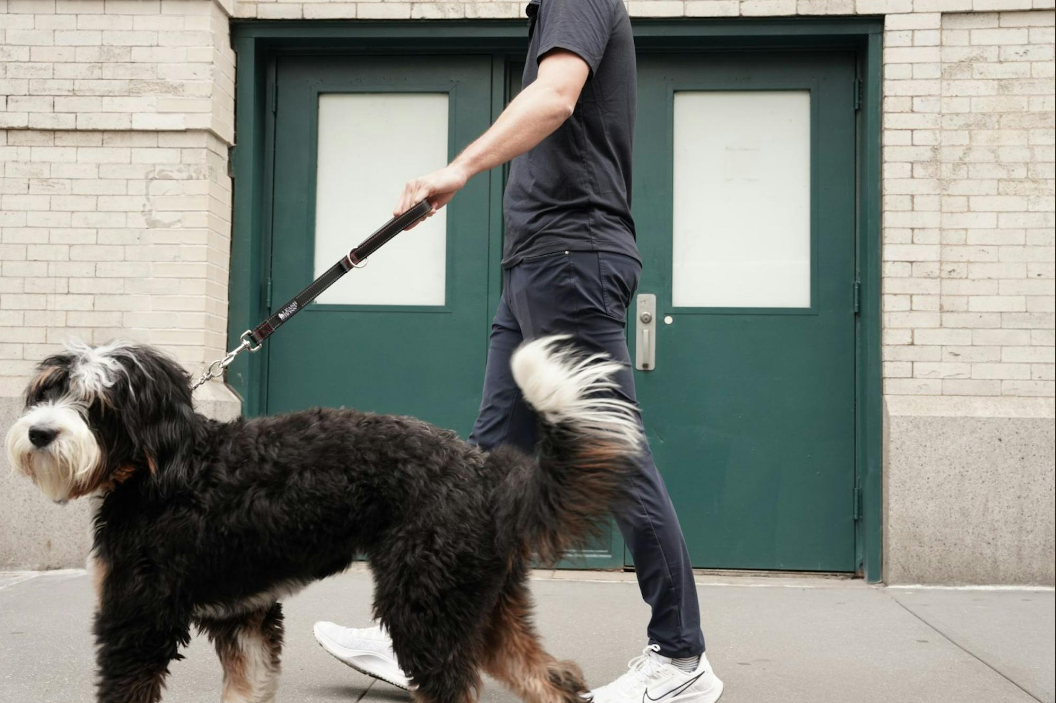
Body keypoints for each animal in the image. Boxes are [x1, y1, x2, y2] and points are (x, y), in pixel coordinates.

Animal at [8, 333, 637, 700]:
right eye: (48, 391)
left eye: (98, 403)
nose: (39, 432)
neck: (169, 467)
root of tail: (485, 472)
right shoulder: (245, 616)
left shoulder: (137, 621)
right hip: (482, 604)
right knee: (550, 677)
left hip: (425, 607)